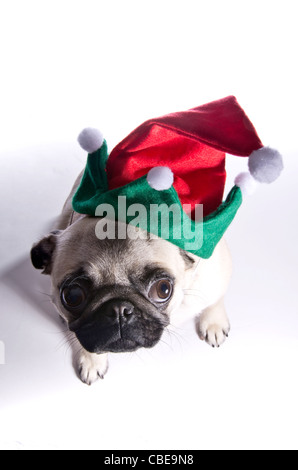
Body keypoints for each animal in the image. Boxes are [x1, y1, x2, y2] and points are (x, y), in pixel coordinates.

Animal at [30, 171, 230, 384]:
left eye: (163, 289)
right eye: (73, 296)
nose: (119, 309)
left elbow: (215, 299)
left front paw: (214, 321)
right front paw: (92, 361)